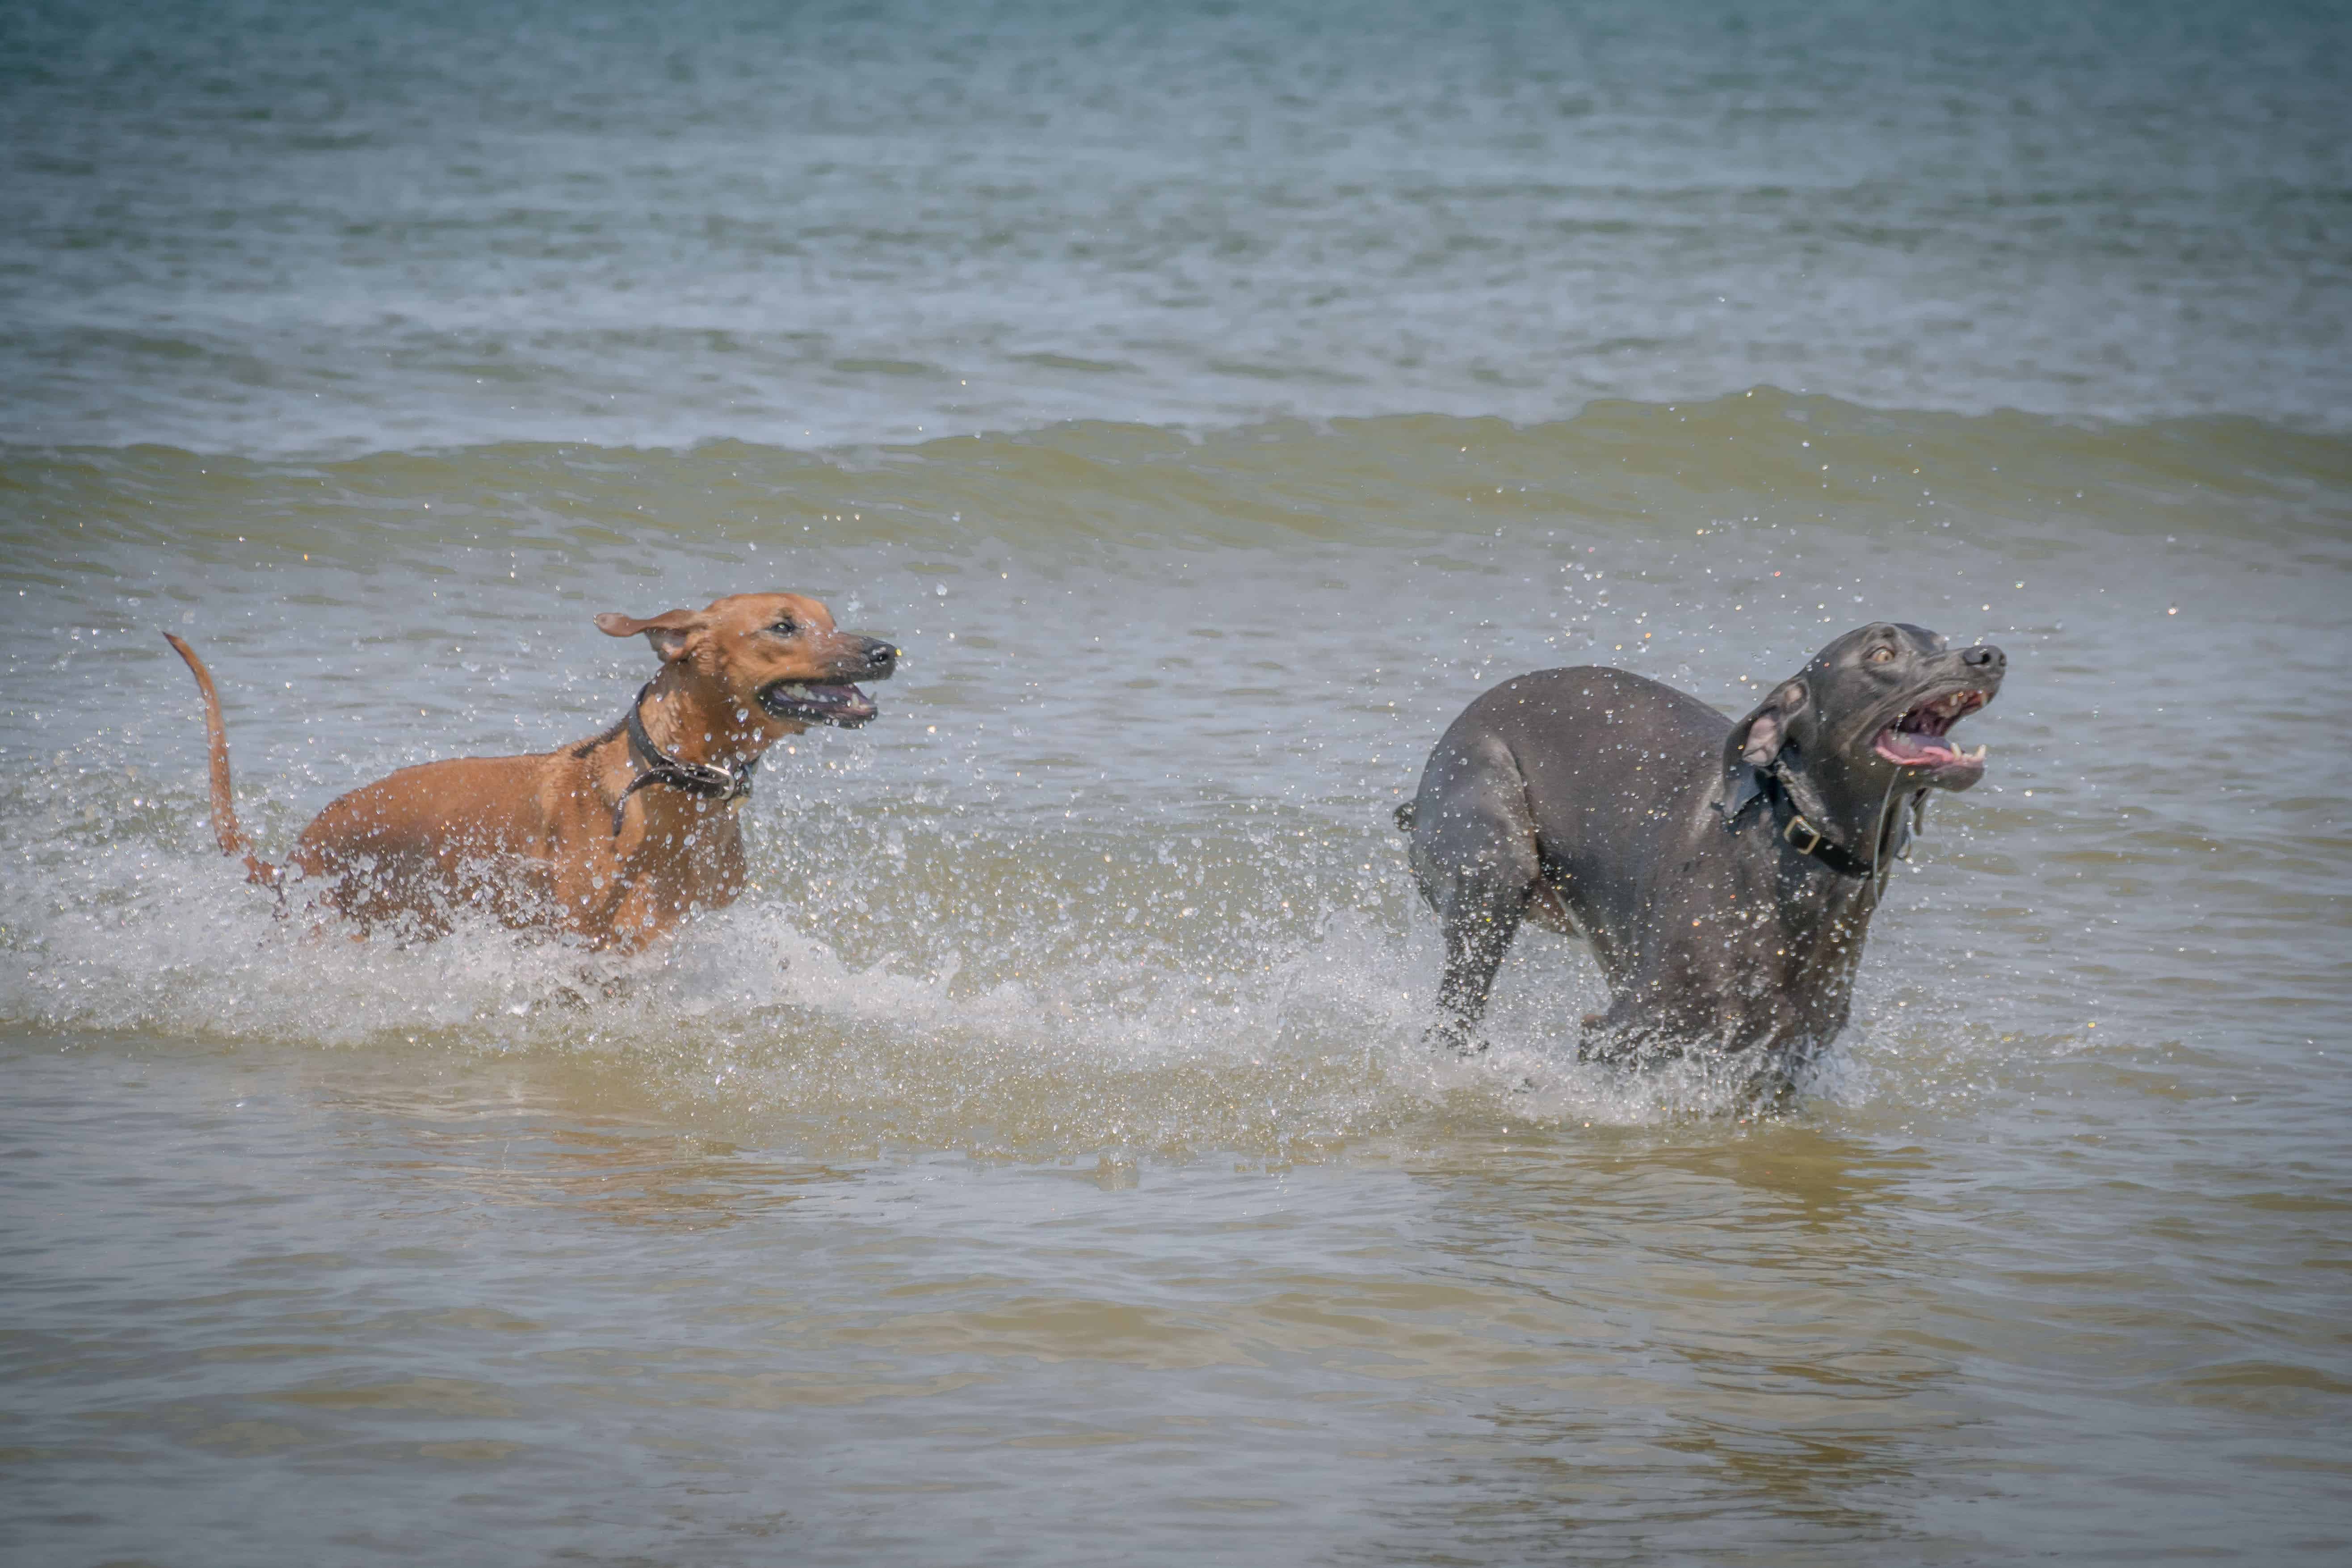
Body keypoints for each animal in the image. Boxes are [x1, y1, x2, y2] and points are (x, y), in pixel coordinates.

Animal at [1392, 620, 2003, 1072]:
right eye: (1881, 653)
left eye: (1939, 641)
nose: (1987, 654)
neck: (1796, 857)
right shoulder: (1621, 1034)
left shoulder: (1783, 1058)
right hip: (1490, 867)